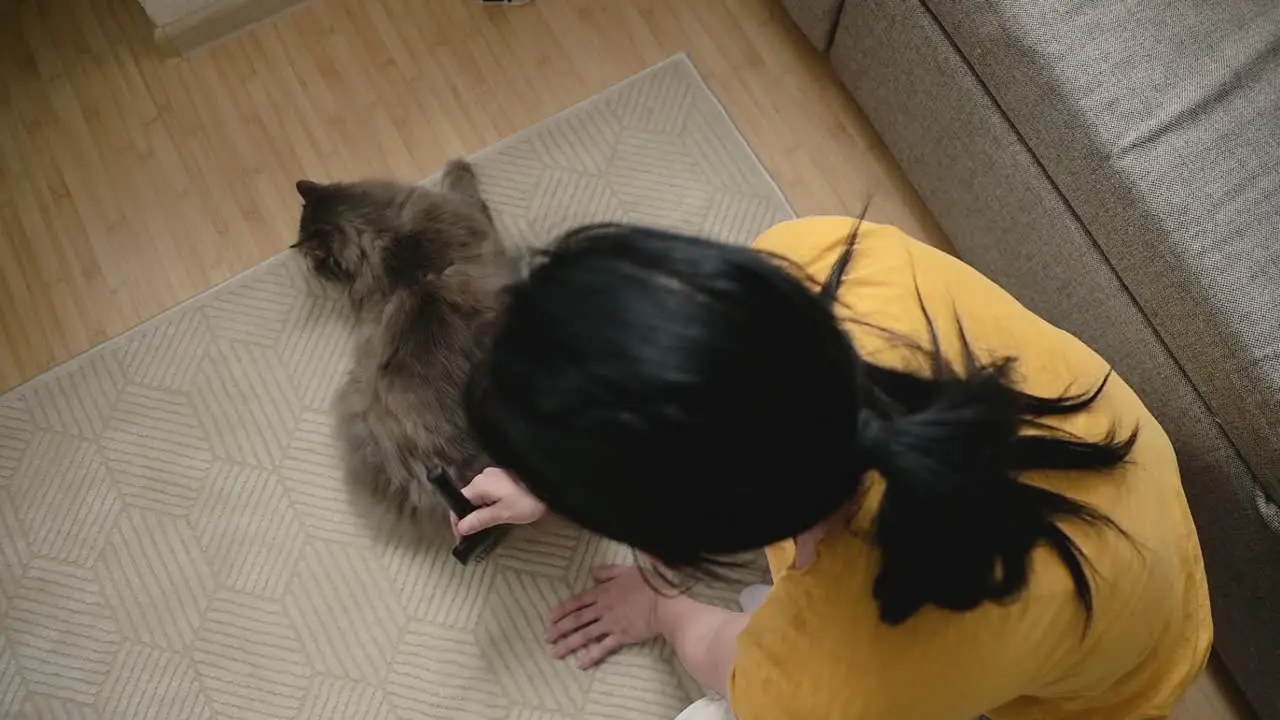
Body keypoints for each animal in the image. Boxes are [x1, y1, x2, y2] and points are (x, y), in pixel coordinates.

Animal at [294, 159, 514, 525]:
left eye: (316, 258)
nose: (312, 268)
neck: (385, 238)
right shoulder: (469, 213)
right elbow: (462, 184)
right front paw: (457, 164)